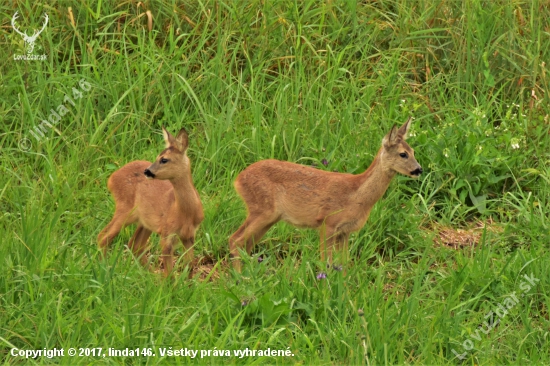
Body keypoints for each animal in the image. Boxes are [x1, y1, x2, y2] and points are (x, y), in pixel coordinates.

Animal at [97, 127, 205, 276]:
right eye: (157, 157)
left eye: (164, 159)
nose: (147, 171)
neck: (185, 212)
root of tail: (111, 179)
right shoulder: (167, 233)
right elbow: (169, 273)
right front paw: (168, 282)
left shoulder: (189, 235)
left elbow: (190, 266)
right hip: (125, 209)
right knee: (104, 237)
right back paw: (103, 269)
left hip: (144, 222)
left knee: (134, 244)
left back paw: (150, 275)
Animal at [231, 117, 424, 272]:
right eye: (403, 154)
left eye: (414, 151)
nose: (419, 170)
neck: (356, 196)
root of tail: (238, 180)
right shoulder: (327, 223)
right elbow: (326, 263)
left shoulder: (344, 231)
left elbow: (344, 264)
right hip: (262, 210)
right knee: (235, 240)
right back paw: (241, 279)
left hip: (269, 217)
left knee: (245, 245)